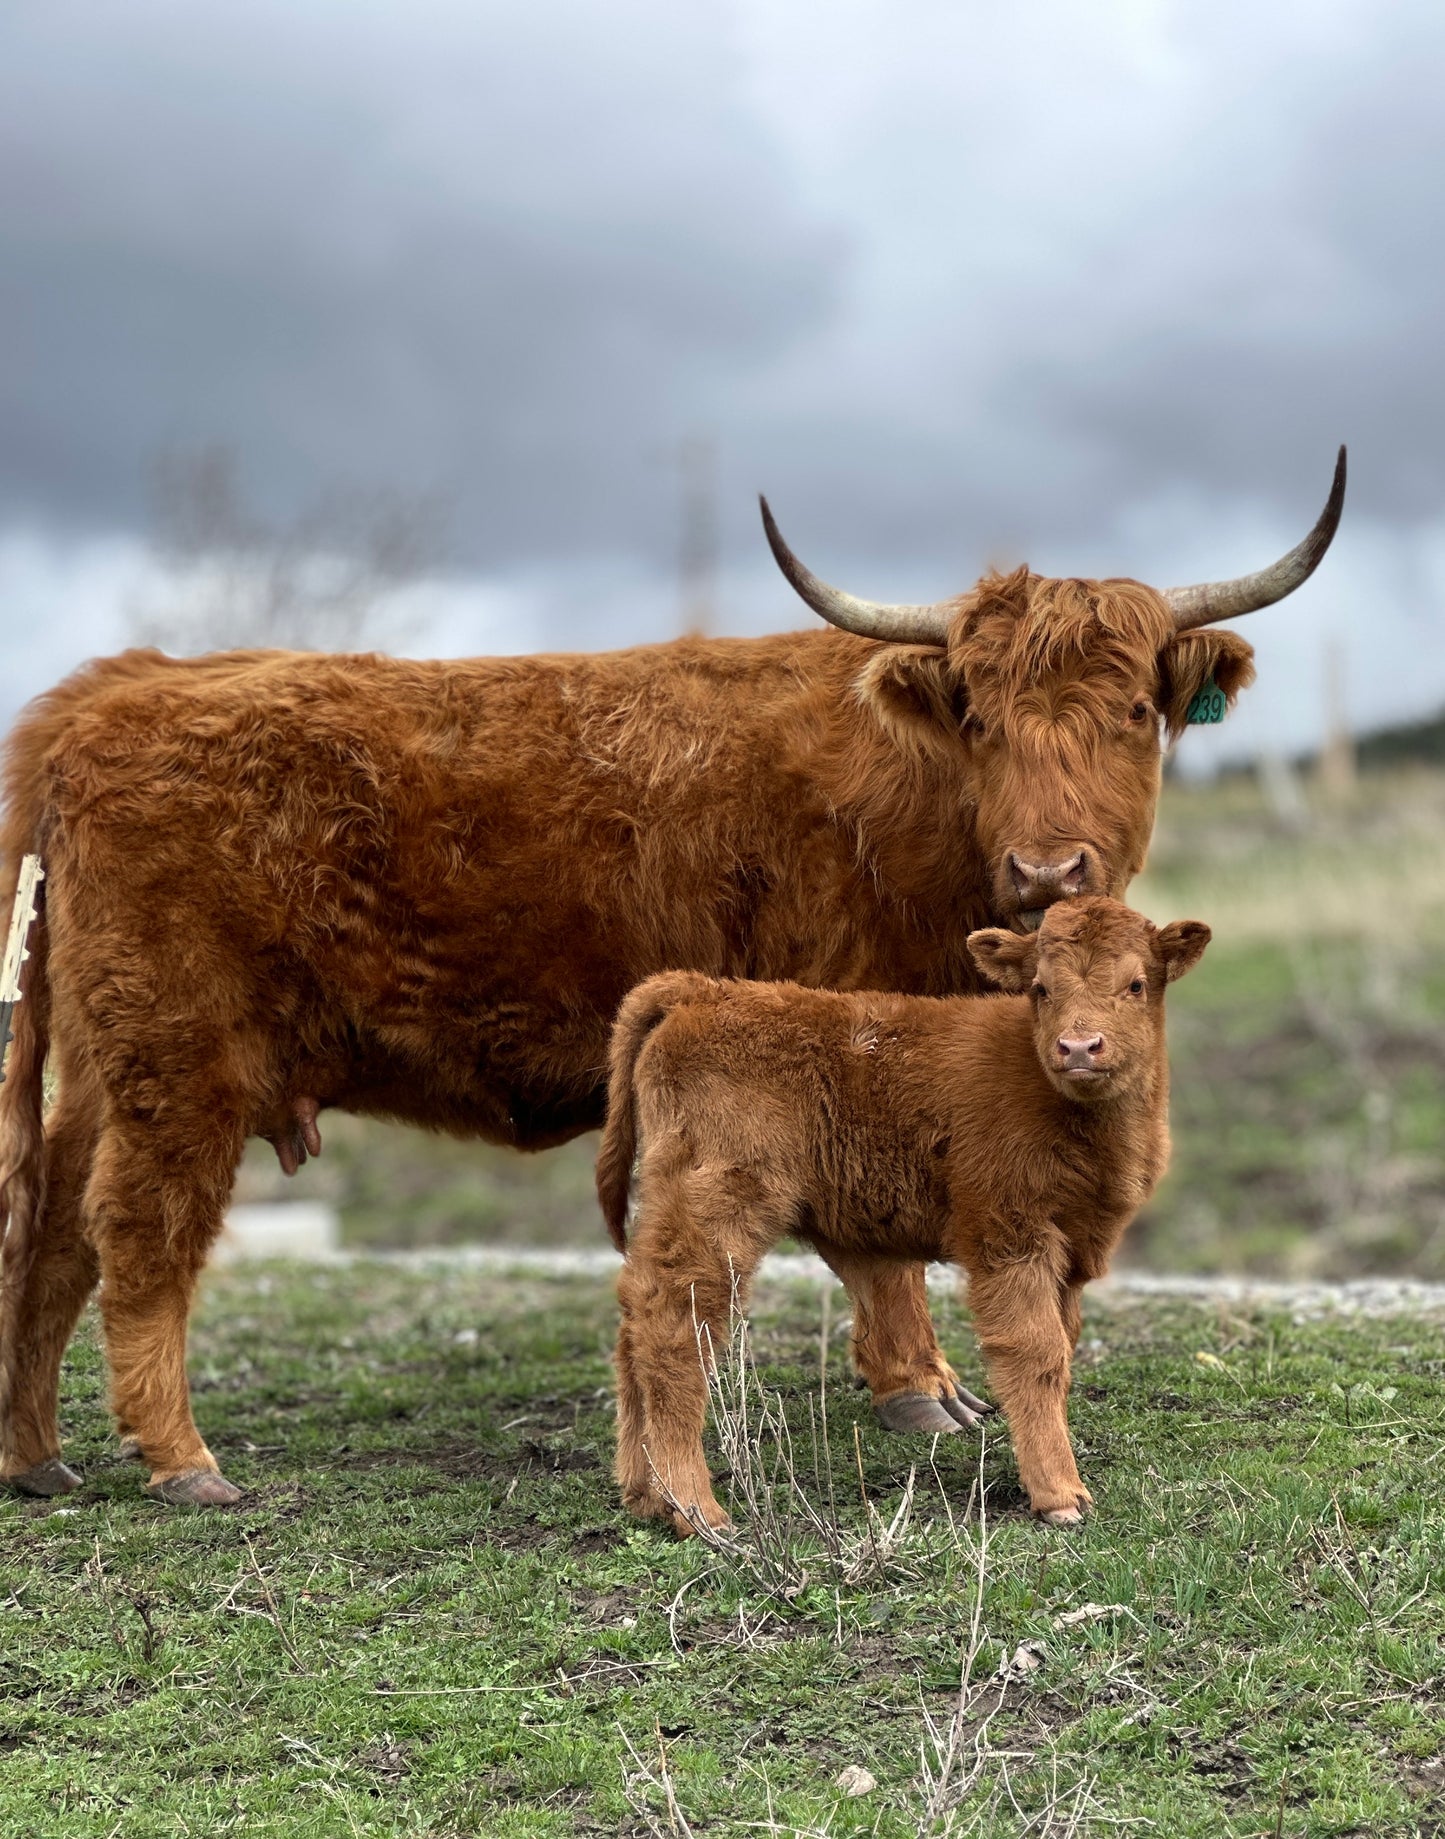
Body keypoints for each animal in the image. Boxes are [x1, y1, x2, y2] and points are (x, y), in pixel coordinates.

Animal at [599, 896, 1209, 1533]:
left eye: (1137, 984)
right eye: (1041, 987)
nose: (1079, 1047)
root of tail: (701, 992)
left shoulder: (1074, 1250)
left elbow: (1060, 1349)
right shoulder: (1009, 1236)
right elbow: (1034, 1352)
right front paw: (1060, 1495)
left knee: (636, 1317)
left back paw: (644, 1493)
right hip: (720, 1210)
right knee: (675, 1325)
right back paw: (695, 1507)